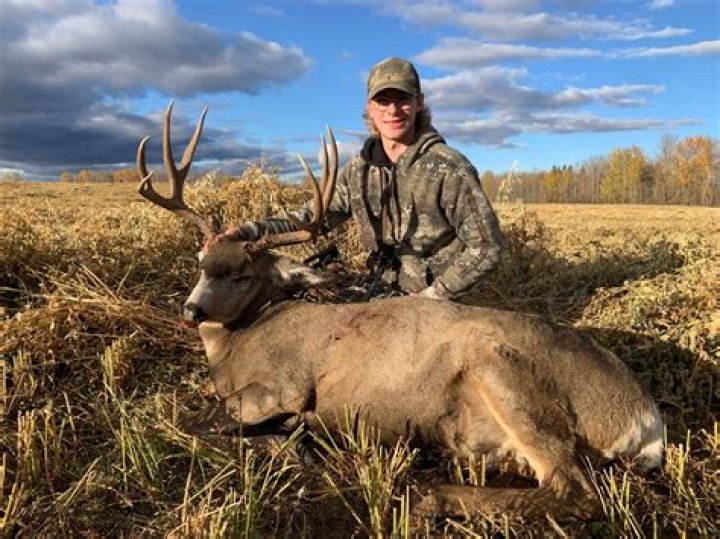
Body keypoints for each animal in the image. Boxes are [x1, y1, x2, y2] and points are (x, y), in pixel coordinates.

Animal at [135, 103, 663, 520]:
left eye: (242, 274)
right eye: (201, 262)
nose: (192, 309)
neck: (238, 345)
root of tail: (645, 413)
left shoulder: (285, 384)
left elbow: (206, 417)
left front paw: (285, 439)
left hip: (504, 370)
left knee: (577, 489)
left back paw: (429, 496)